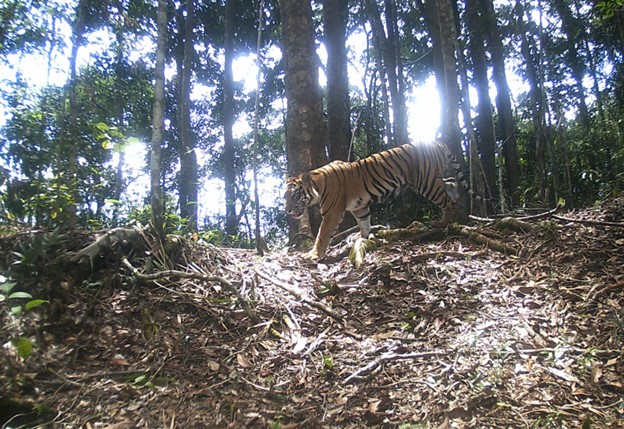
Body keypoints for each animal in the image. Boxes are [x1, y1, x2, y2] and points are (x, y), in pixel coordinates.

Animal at [286, 142, 466, 260]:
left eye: (295, 196)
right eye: (285, 197)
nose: (287, 210)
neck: (318, 184)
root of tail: (435, 142)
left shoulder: (332, 213)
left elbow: (322, 235)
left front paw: (313, 255)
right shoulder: (359, 207)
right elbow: (364, 223)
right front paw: (362, 239)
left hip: (427, 182)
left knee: (449, 202)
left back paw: (442, 222)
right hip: (439, 179)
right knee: (453, 189)